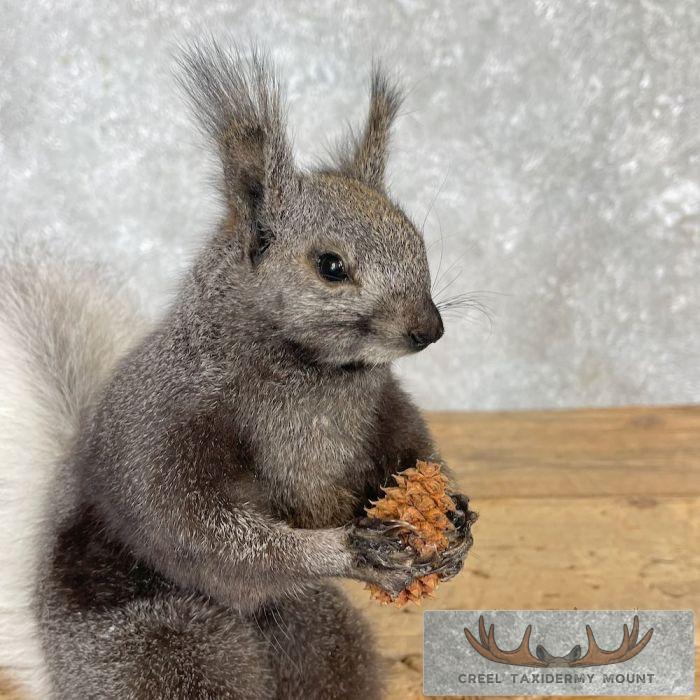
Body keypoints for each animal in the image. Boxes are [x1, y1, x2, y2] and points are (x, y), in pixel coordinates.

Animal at [0, 41, 475, 699]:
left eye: (417, 239)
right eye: (330, 265)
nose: (428, 328)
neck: (319, 378)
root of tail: (59, 671)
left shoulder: (381, 411)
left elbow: (409, 448)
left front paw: (453, 514)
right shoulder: (163, 430)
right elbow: (206, 533)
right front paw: (345, 551)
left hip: (315, 632)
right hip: (160, 653)